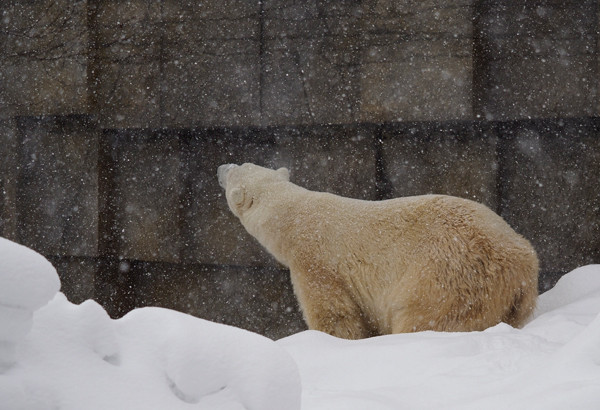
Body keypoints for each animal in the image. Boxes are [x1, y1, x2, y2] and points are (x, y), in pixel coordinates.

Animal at [217, 163, 540, 340]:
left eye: (236, 169)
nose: (221, 167)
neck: (296, 217)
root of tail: (518, 260)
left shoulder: (316, 263)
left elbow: (334, 315)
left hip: (447, 276)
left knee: (425, 317)